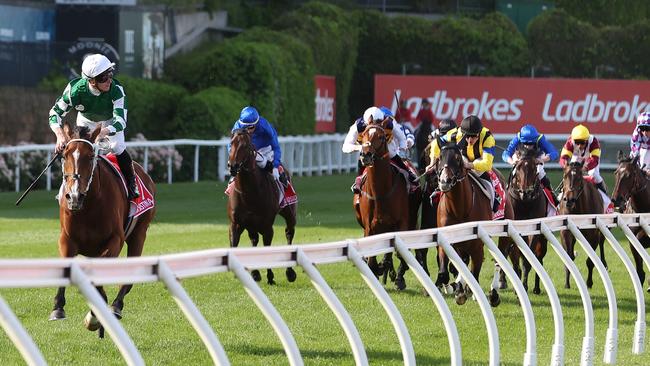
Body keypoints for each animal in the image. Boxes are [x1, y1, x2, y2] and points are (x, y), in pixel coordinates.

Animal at [50, 124, 154, 336]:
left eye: (91, 156)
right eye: (64, 155)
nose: (74, 196)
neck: (88, 206)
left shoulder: (115, 240)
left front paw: (95, 316)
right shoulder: (67, 239)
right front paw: (58, 307)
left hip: (139, 233)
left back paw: (116, 306)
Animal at [225, 130, 296, 284]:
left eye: (246, 146)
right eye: (231, 143)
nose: (232, 166)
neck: (249, 192)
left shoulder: (267, 226)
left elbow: (267, 248)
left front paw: (270, 276)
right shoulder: (236, 224)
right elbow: (235, 245)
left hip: (290, 213)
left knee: (289, 233)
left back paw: (290, 272)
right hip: (251, 225)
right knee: (254, 239)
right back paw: (256, 273)